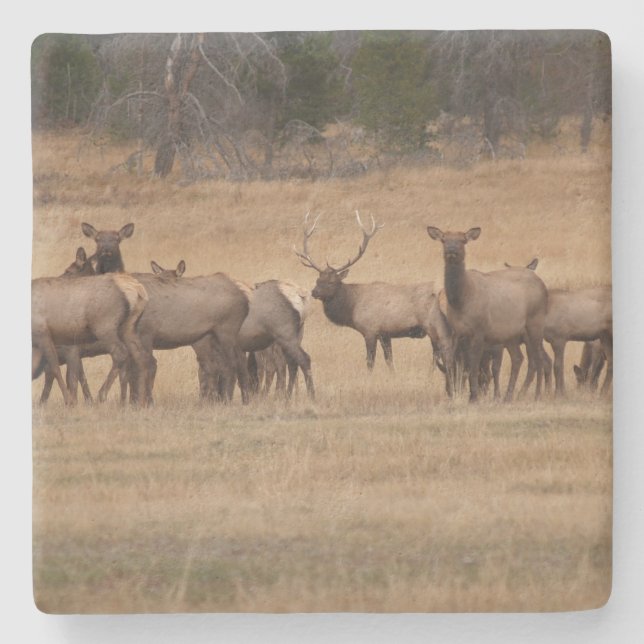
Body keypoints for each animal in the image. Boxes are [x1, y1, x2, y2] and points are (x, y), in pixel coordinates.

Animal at [32, 272, 151, 406]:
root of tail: (137, 290)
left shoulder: (45, 335)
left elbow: (56, 369)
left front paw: (69, 401)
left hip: (104, 327)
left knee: (120, 353)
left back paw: (102, 395)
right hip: (128, 328)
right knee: (140, 355)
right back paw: (139, 402)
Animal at [295, 212, 455, 394]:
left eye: (331, 281)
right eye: (318, 279)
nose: (314, 292)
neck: (352, 307)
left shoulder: (370, 330)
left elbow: (370, 361)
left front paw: (368, 380)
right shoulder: (385, 333)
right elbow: (389, 360)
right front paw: (393, 377)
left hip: (432, 324)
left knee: (437, 352)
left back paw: (430, 376)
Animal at [427, 226, 547, 403]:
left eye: (463, 240)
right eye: (444, 239)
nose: (451, 250)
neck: (461, 300)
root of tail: (542, 284)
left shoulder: (479, 330)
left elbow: (474, 364)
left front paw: (474, 397)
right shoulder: (458, 332)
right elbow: (459, 363)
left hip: (535, 324)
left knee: (538, 359)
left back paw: (537, 394)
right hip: (510, 334)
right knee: (518, 358)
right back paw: (508, 396)